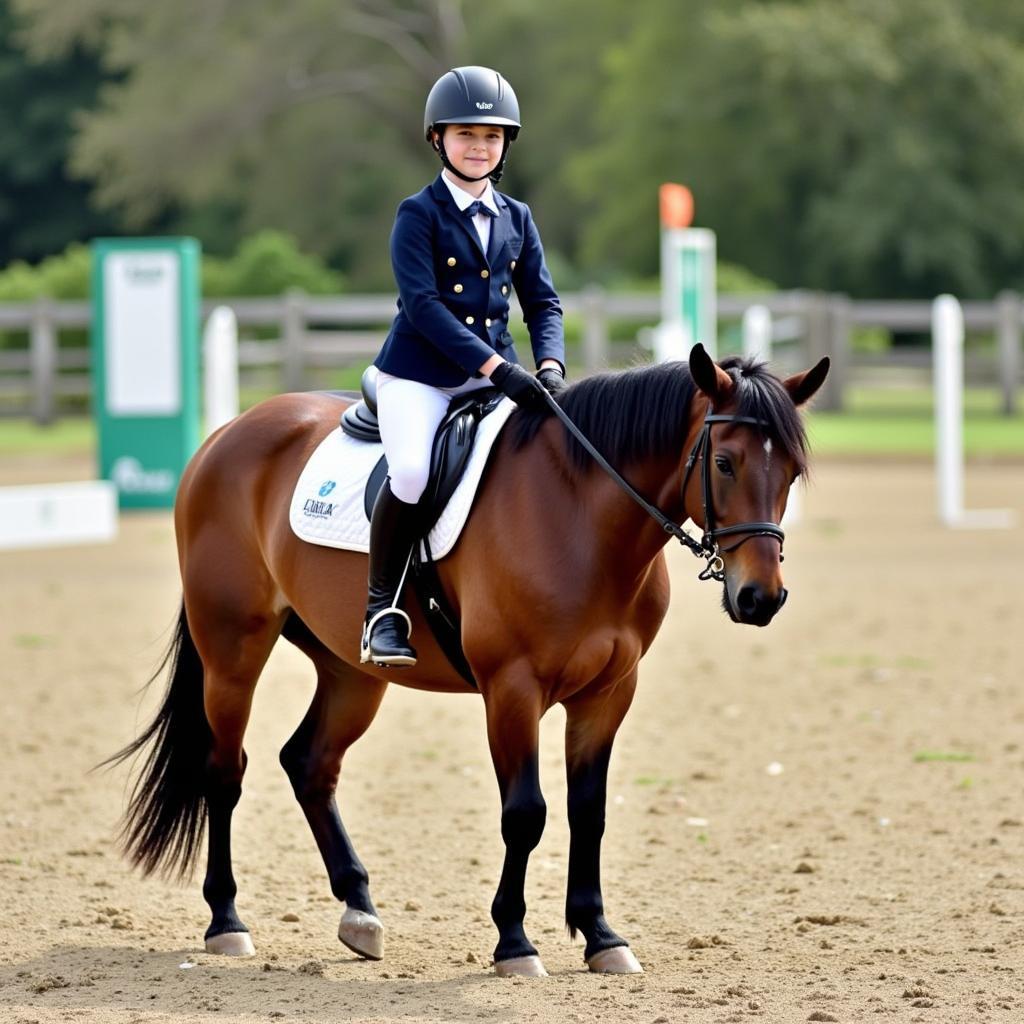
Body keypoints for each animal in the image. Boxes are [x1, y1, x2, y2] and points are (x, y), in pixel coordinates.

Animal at [110, 342, 823, 974]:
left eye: (791, 471)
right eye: (725, 463)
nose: (761, 598)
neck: (582, 516)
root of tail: (227, 435)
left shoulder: (609, 692)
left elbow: (588, 812)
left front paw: (600, 936)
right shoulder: (513, 689)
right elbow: (526, 813)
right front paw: (515, 943)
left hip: (351, 671)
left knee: (309, 763)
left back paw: (360, 913)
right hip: (233, 651)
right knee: (224, 772)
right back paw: (227, 922)